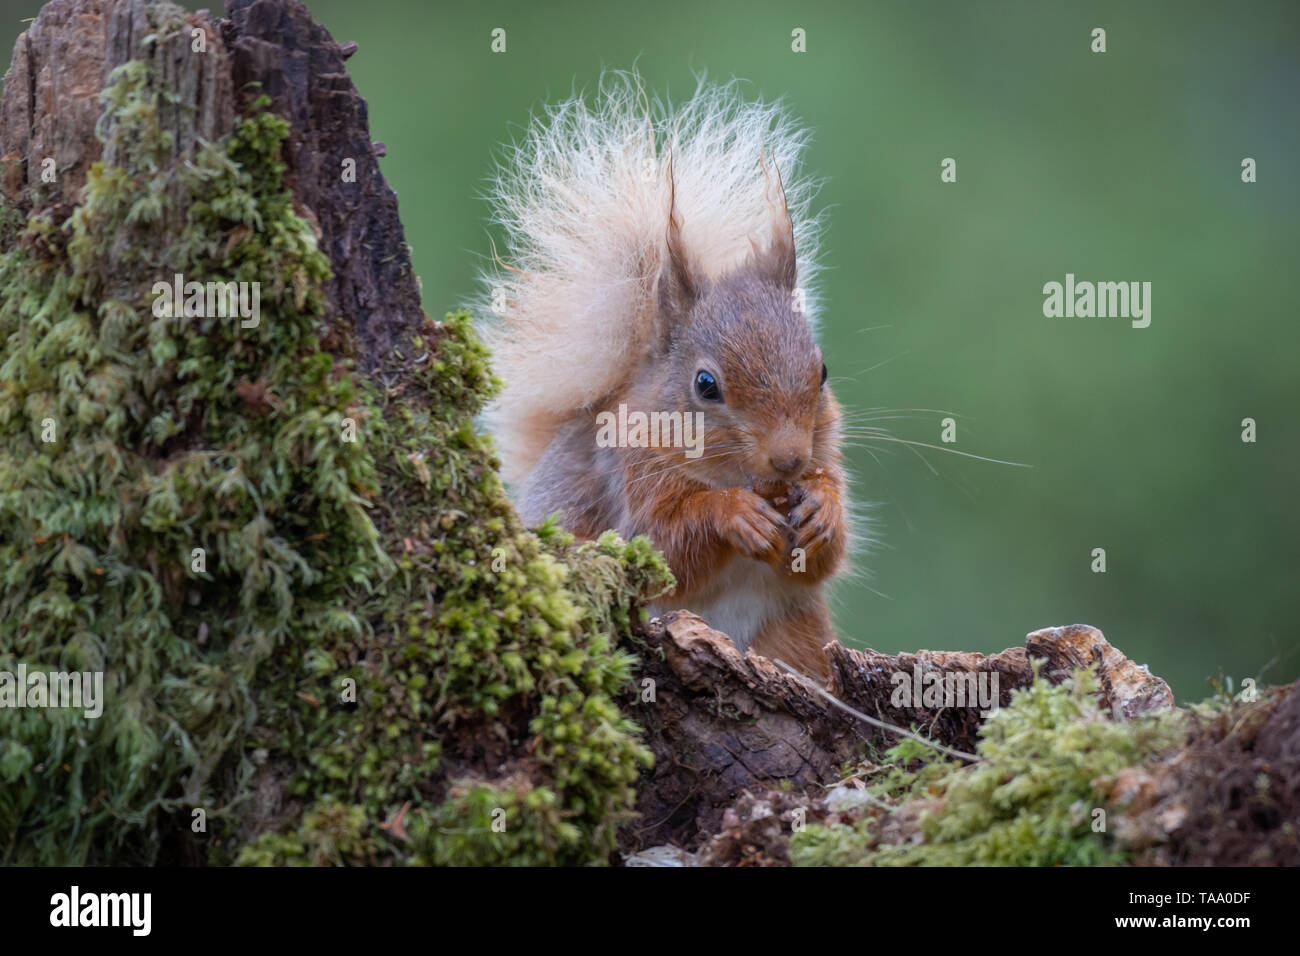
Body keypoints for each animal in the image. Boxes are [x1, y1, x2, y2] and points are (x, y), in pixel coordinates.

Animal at [475, 74, 851, 681]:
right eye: (705, 384)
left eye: (822, 372)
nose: (789, 460)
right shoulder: (632, 478)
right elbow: (666, 547)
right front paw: (732, 513)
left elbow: (820, 560)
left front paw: (822, 506)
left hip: (794, 635)